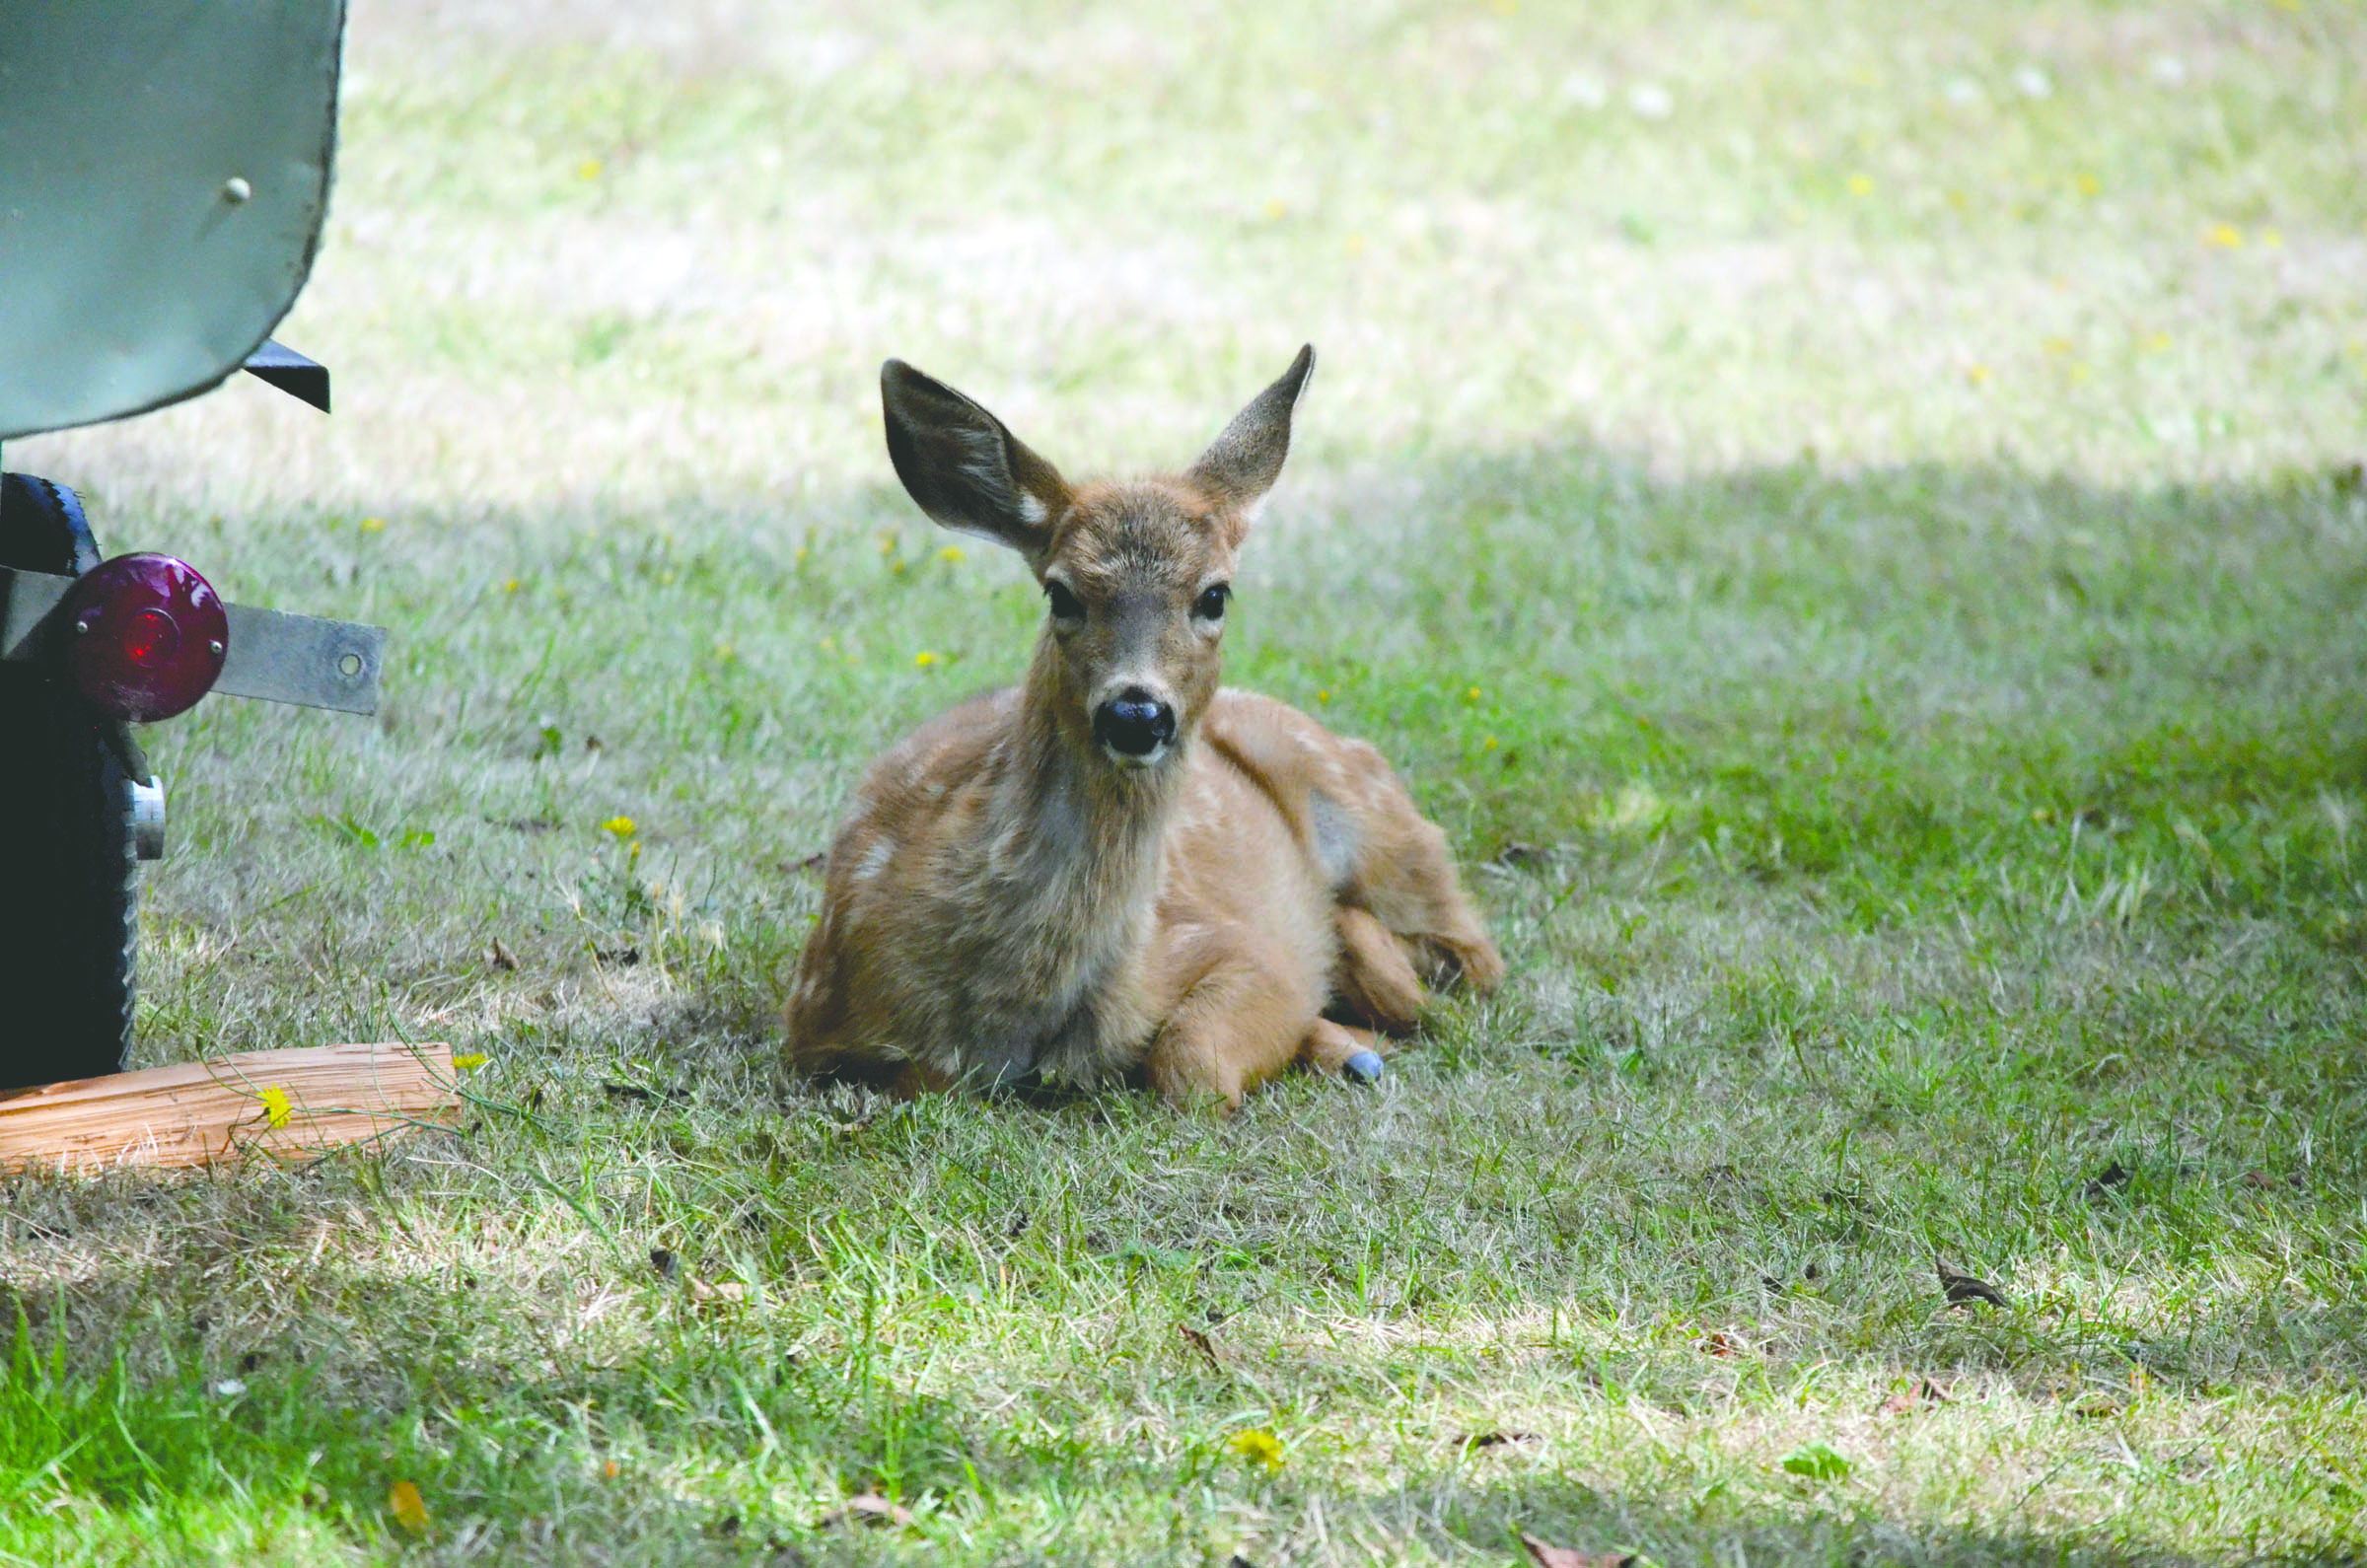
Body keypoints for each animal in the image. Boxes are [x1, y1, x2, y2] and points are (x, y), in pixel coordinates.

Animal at [785, 350, 1505, 1112]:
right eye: (1061, 593)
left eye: (1215, 595)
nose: (1137, 713)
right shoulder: (816, 1013)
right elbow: (920, 1077)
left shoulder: (1240, 951)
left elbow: (1192, 1066)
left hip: (1389, 836)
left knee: (1468, 963)